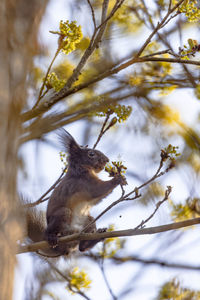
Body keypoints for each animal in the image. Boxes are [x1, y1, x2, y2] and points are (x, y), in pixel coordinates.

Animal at [25, 127, 124, 256]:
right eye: (91, 154)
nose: (107, 160)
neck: (80, 168)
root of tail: (62, 249)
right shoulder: (85, 183)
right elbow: (98, 189)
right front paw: (117, 179)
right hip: (63, 213)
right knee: (53, 230)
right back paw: (51, 237)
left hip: (88, 220)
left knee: (82, 247)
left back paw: (97, 236)